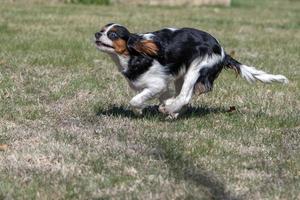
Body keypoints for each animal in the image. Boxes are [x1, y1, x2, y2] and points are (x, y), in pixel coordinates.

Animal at [95, 22, 290, 118]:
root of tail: (223, 52)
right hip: (182, 75)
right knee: (182, 97)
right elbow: (163, 97)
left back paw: (170, 110)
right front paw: (147, 110)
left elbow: (135, 100)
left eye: (113, 34)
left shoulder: (157, 84)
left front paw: (142, 109)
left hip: (196, 69)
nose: (97, 34)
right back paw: (172, 111)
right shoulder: (164, 85)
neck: (135, 55)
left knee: (185, 96)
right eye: (102, 30)